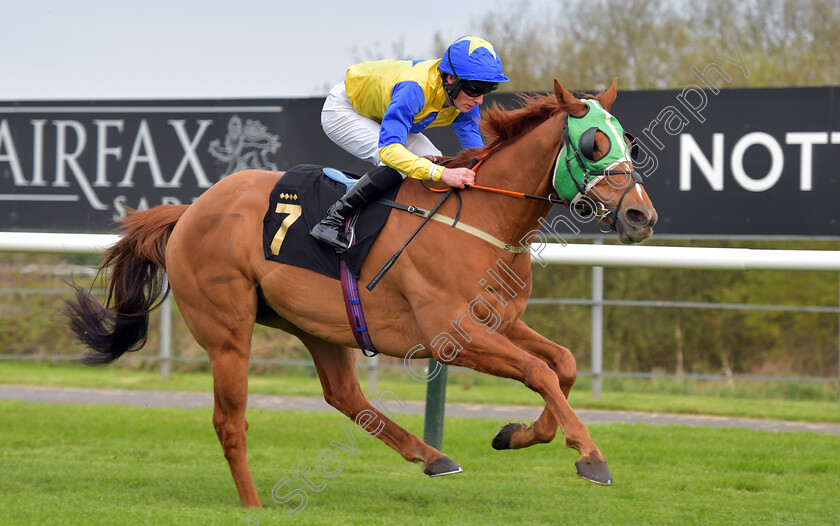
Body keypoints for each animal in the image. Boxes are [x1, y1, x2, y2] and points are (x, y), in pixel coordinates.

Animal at [65, 80, 656, 510]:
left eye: (626, 141)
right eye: (593, 143)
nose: (640, 216)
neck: (484, 217)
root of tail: (190, 210)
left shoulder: (500, 321)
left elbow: (564, 363)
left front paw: (516, 435)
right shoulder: (451, 336)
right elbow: (539, 373)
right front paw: (590, 456)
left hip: (317, 323)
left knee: (344, 396)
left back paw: (431, 455)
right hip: (228, 333)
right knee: (230, 422)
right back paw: (254, 503)